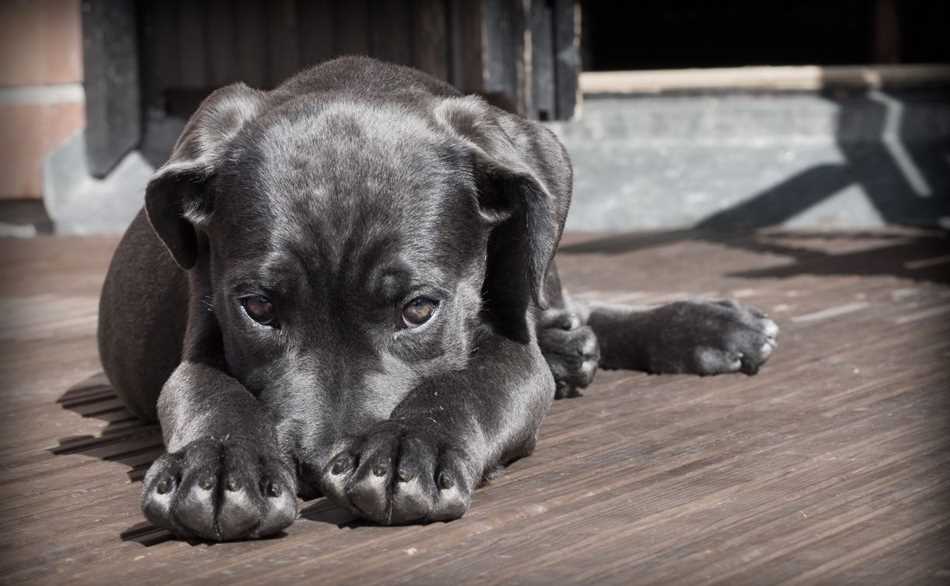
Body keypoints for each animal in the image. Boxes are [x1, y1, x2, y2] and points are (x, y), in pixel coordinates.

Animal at [98, 57, 780, 540]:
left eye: (419, 310)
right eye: (259, 309)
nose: (317, 468)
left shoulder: (513, 352)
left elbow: (467, 384)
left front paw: (409, 448)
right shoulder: (200, 338)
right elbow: (210, 392)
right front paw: (218, 466)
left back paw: (701, 328)